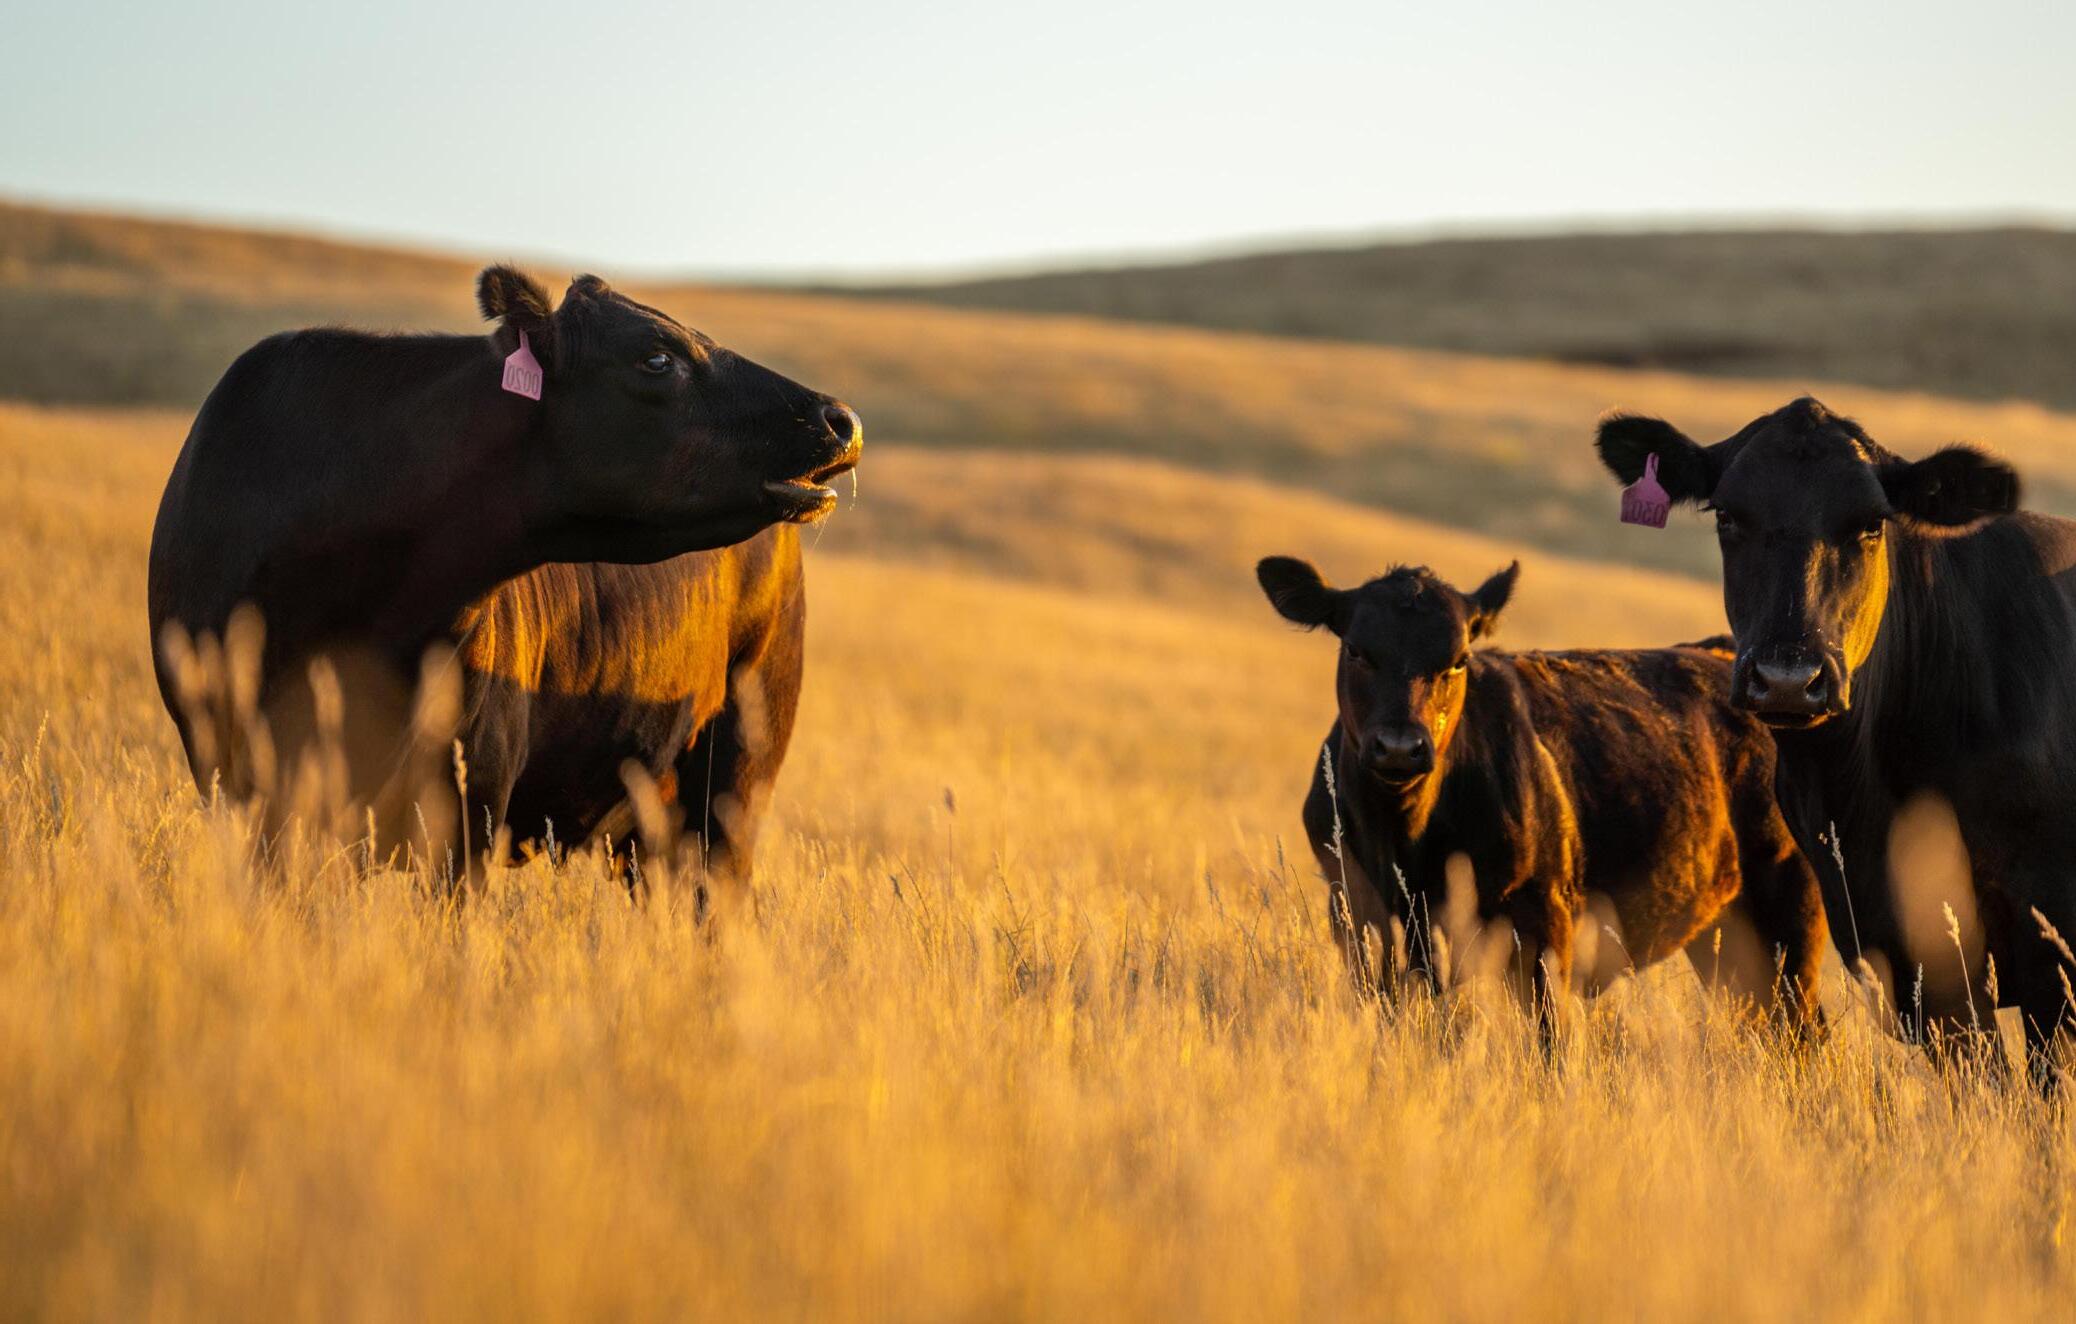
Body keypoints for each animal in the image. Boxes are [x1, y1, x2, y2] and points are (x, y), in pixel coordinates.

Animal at [1257, 556, 1826, 1044]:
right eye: (1356, 650)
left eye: (1458, 659)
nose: (1400, 746)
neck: (1405, 841)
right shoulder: (1358, 914)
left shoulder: (1546, 918)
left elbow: (1548, 1040)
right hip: (1724, 934)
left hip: (1790, 906)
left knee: (1801, 1027)